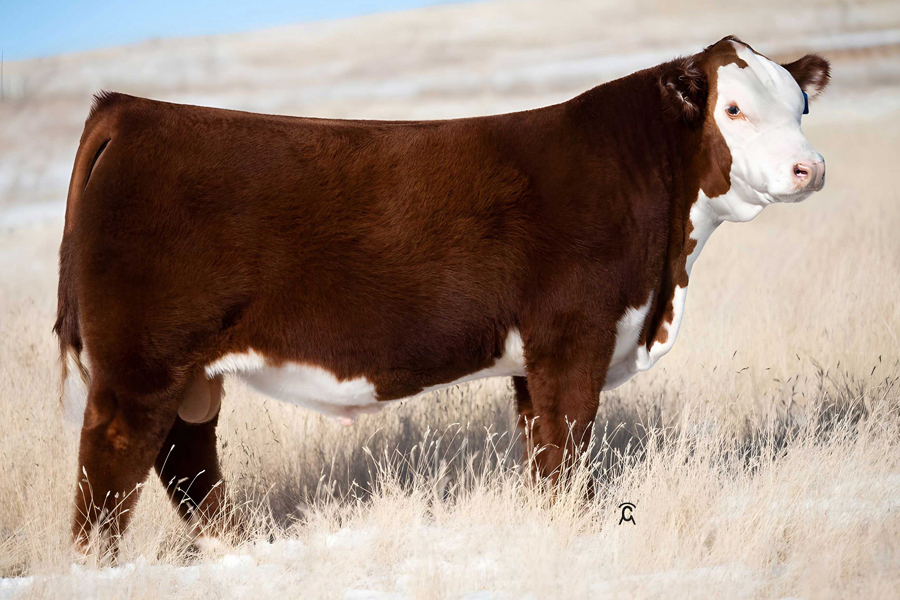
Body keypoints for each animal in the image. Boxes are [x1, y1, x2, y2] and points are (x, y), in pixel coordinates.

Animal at [55, 36, 829, 551]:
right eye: (734, 109)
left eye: (802, 105)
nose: (810, 169)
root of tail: (130, 111)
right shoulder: (574, 337)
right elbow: (569, 446)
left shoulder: (533, 362)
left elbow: (541, 449)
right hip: (140, 363)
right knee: (115, 459)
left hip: (189, 372)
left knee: (187, 458)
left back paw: (241, 548)